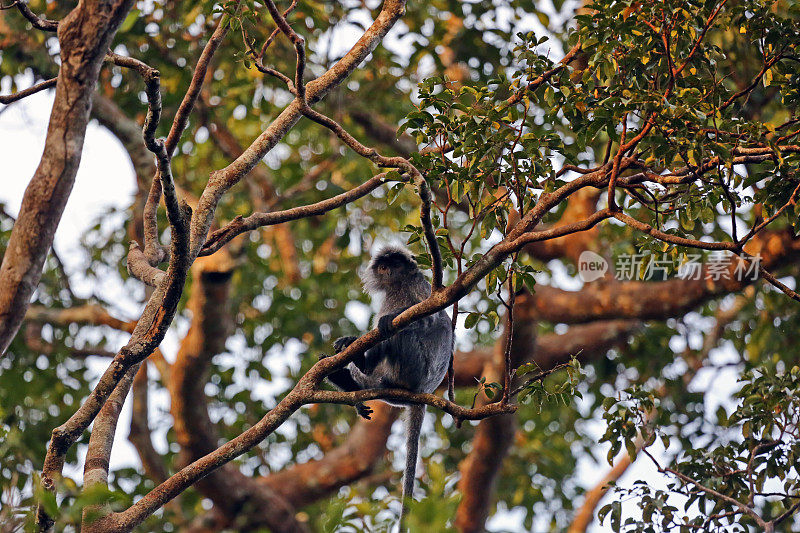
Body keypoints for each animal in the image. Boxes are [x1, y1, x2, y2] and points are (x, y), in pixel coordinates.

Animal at [320, 245, 456, 528]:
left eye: (395, 264)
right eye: (384, 266)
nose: (388, 270)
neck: (398, 285)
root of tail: (422, 392)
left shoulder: (421, 288)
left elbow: (430, 318)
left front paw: (390, 319)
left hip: (412, 366)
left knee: (399, 332)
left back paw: (364, 358)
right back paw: (345, 380)